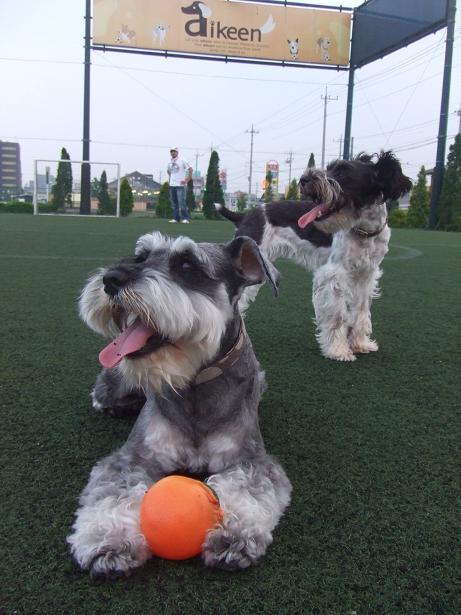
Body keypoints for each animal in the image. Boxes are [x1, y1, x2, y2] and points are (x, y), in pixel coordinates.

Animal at [67, 232, 291, 578]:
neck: (194, 383)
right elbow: (115, 491)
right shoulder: (133, 458)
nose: (111, 279)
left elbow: (246, 489)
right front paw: (109, 541)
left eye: (187, 265)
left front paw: (234, 535)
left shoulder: (250, 460)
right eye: (141, 256)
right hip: (117, 382)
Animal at [216, 151, 412, 362]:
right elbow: (338, 316)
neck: (364, 231)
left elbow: (361, 311)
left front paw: (360, 344)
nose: (304, 179)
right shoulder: (334, 275)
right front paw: (338, 350)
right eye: (330, 168)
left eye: (344, 172)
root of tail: (244, 215)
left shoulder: (366, 276)